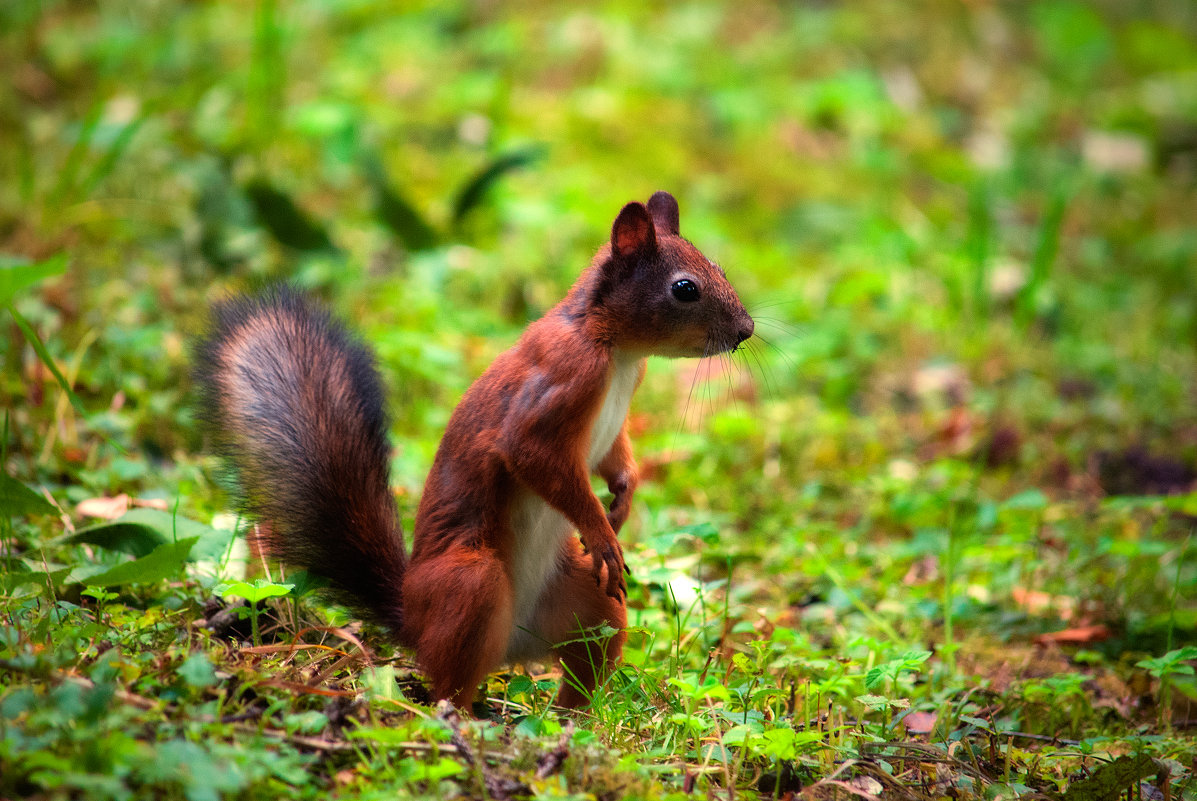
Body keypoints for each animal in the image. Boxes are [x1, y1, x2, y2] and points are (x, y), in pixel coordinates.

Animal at [197, 189, 756, 704]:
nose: (746, 331)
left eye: (718, 266)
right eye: (684, 288)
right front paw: (600, 530)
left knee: (584, 664)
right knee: (451, 684)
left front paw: (623, 498)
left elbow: (612, 457)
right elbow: (533, 455)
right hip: (471, 583)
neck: (616, 350)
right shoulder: (558, 387)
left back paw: (573, 722)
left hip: (593, 606)